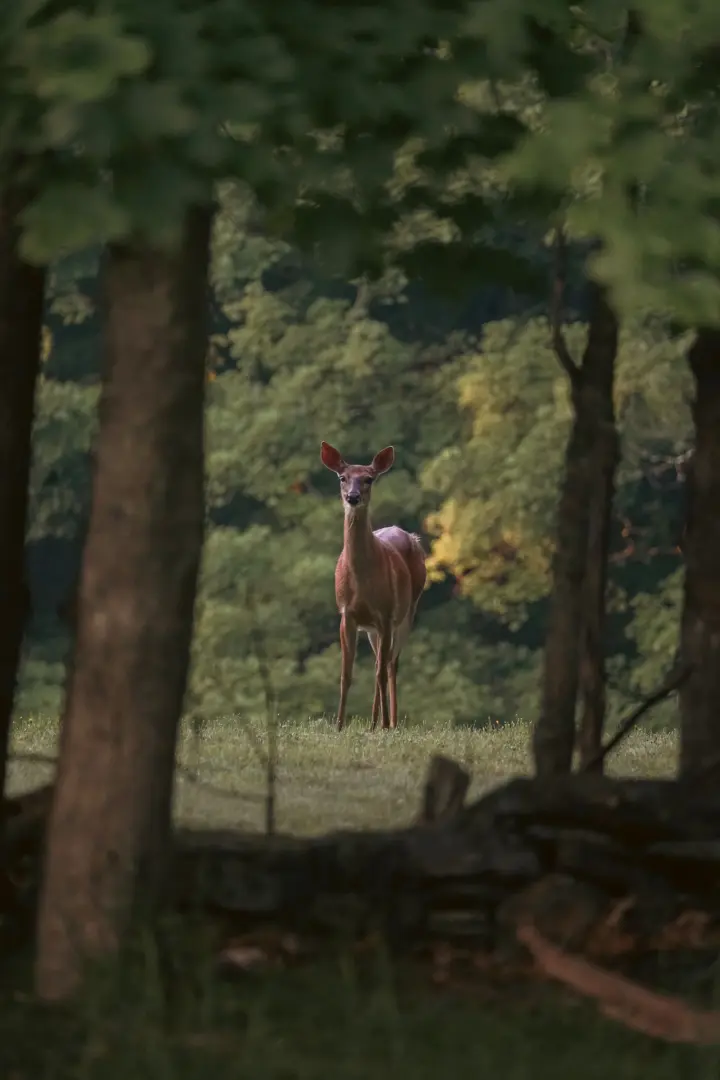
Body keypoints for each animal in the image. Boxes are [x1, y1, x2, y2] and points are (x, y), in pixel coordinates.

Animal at [320, 442, 427, 731]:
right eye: (342, 477)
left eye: (369, 479)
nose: (353, 497)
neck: (361, 581)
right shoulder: (347, 613)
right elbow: (346, 673)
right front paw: (339, 725)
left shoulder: (386, 613)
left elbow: (381, 671)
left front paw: (385, 724)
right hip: (373, 629)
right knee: (382, 661)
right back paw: (375, 722)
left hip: (407, 611)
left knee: (390, 664)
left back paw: (390, 723)